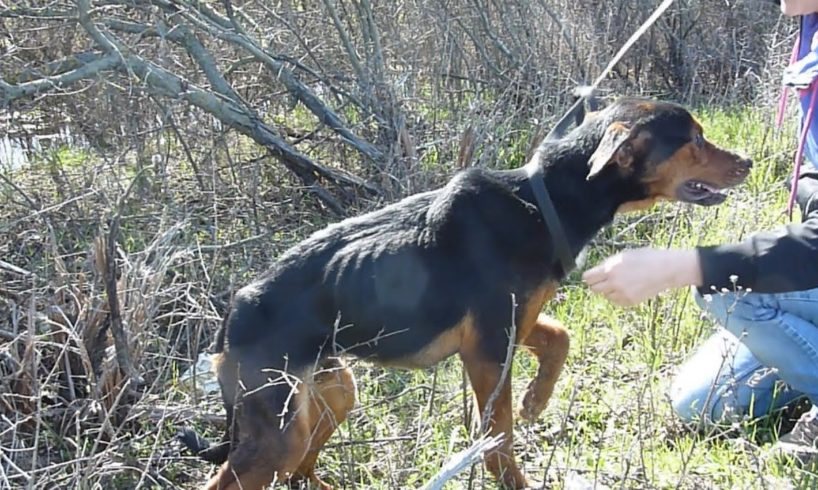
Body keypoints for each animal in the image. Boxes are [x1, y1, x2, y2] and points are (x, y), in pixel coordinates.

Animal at [180, 97, 752, 488]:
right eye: (693, 139)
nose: (746, 162)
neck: (541, 200)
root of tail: (232, 314)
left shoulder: (511, 327)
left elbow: (560, 339)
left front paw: (537, 400)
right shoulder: (486, 351)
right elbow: (499, 439)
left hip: (332, 391)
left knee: (300, 470)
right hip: (278, 429)